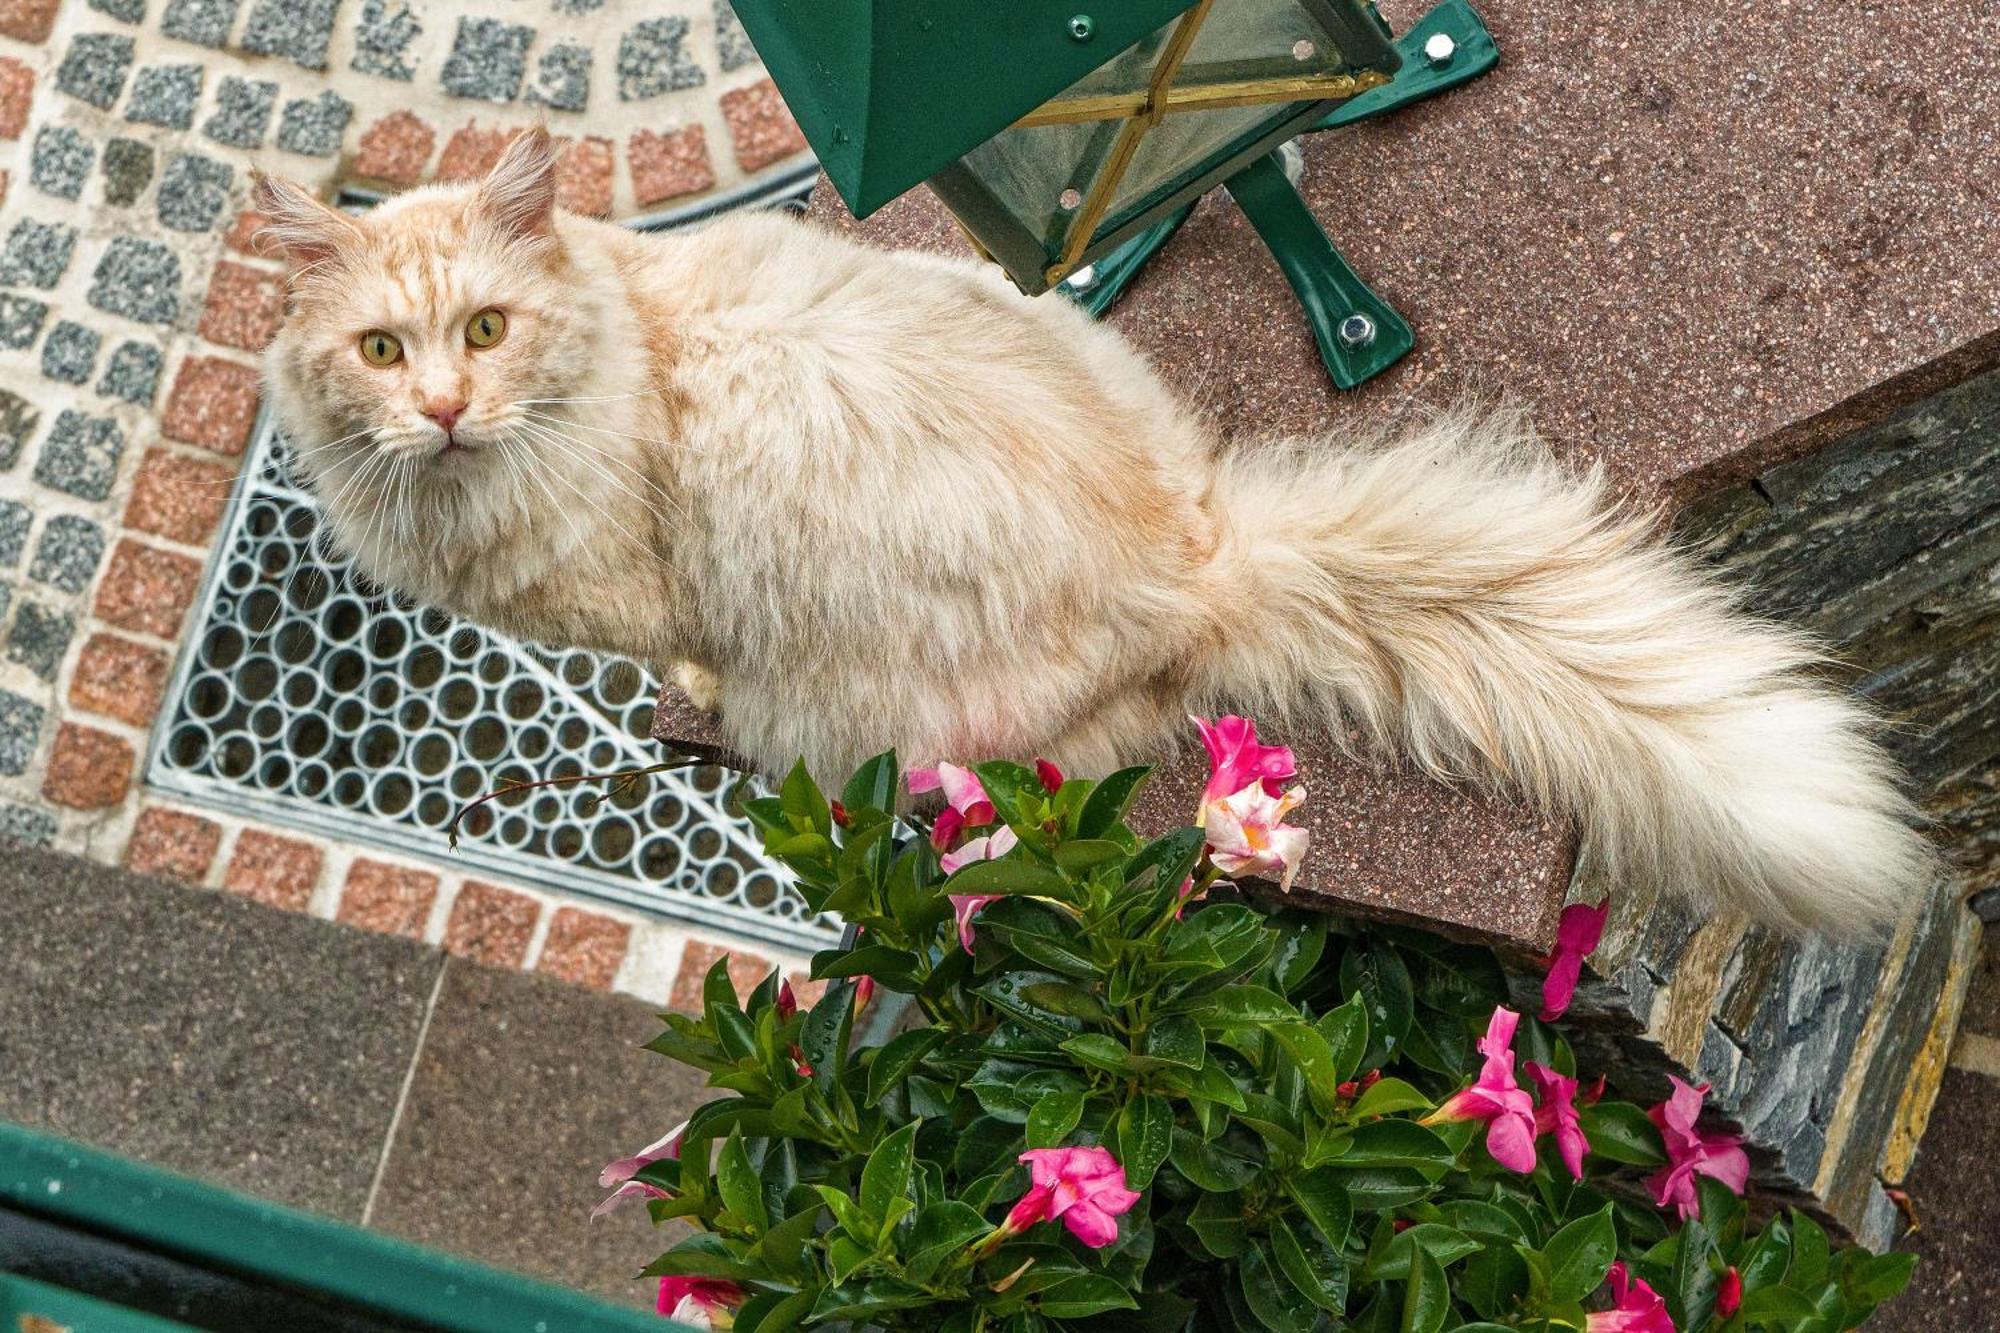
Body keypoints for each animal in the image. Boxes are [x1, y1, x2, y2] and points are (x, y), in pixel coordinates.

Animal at [254, 130, 1936, 928]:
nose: (445, 411)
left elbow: (691, 658)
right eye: (383, 352)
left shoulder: (658, 595)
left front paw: (691, 699)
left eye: (488, 328)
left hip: (880, 717)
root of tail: (1195, 551)